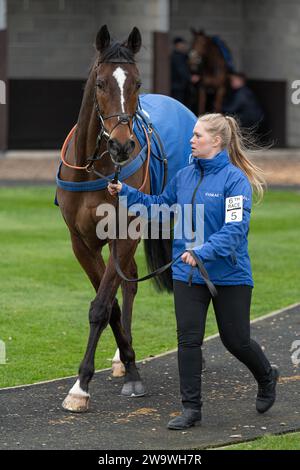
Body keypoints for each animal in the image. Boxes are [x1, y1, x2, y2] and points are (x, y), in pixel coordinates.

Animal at [56, 24, 196, 412]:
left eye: (137, 83)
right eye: (101, 83)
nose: (121, 145)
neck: (95, 168)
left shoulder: (126, 232)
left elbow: (102, 305)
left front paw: (81, 386)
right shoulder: (82, 242)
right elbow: (112, 304)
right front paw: (128, 362)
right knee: (130, 281)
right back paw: (123, 358)